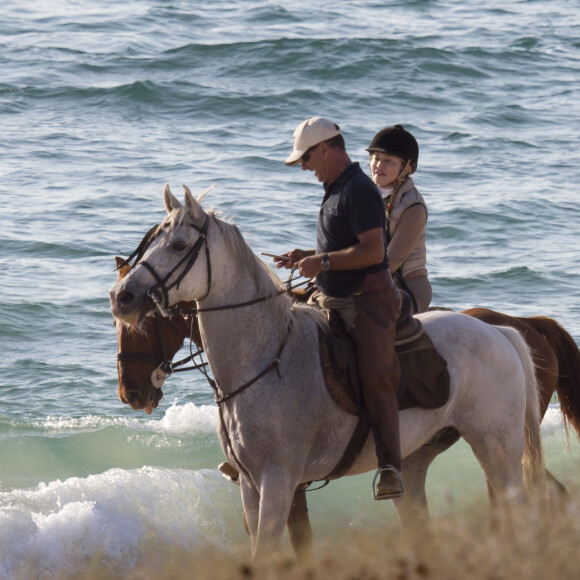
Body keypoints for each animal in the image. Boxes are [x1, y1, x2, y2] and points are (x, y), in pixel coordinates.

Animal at [111, 186, 548, 556]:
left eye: (179, 245)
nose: (121, 296)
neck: (267, 357)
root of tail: (498, 331)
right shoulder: (251, 486)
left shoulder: (280, 482)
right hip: (414, 462)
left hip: (497, 449)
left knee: (522, 513)